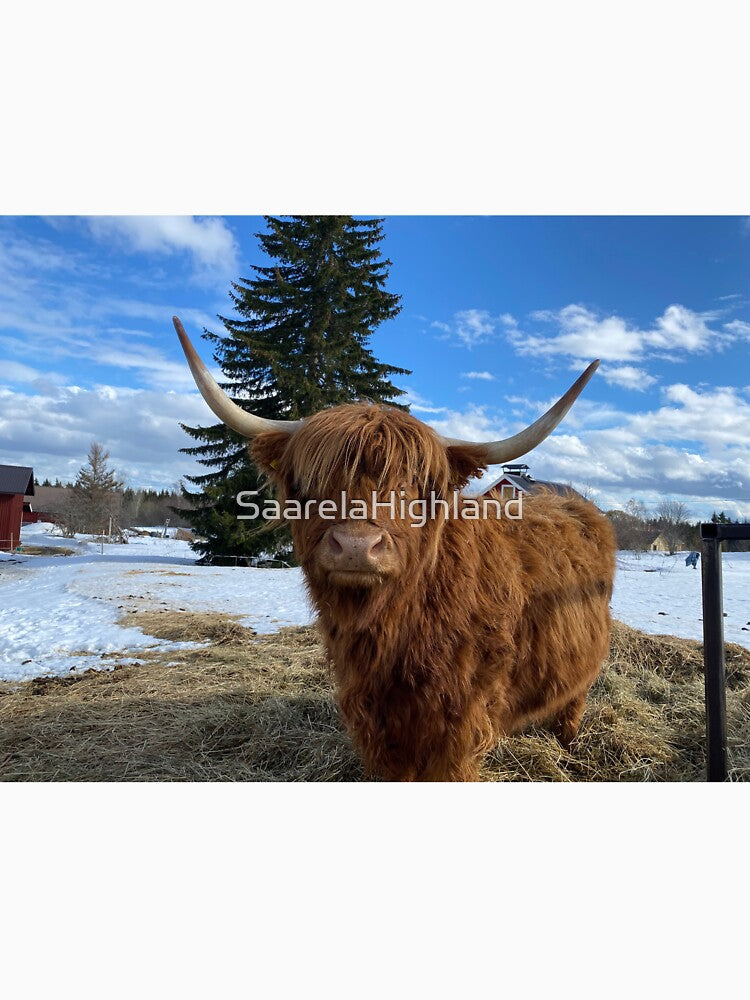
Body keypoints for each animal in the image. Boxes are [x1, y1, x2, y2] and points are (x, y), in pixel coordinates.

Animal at [174, 317, 616, 781]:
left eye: (411, 487)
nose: (356, 546)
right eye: (315, 481)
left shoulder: (458, 724)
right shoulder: (375, 720)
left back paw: (568, 746)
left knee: (573, 703)